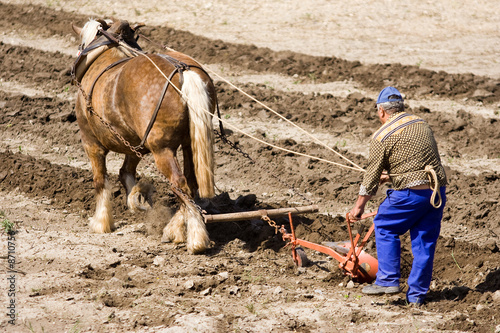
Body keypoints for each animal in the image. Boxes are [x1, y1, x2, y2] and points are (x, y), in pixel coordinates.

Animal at [71, 18, 216, 252]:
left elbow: (100, 181)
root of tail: (183, 71)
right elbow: (125, 172)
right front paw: (137, 198)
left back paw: (196, 239)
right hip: (189, 144)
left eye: (80, 45)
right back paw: (174, 229)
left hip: (161, 149)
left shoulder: (90, 142)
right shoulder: (135, 142)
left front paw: (101, 222)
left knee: (179, 183)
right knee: (190, 185)